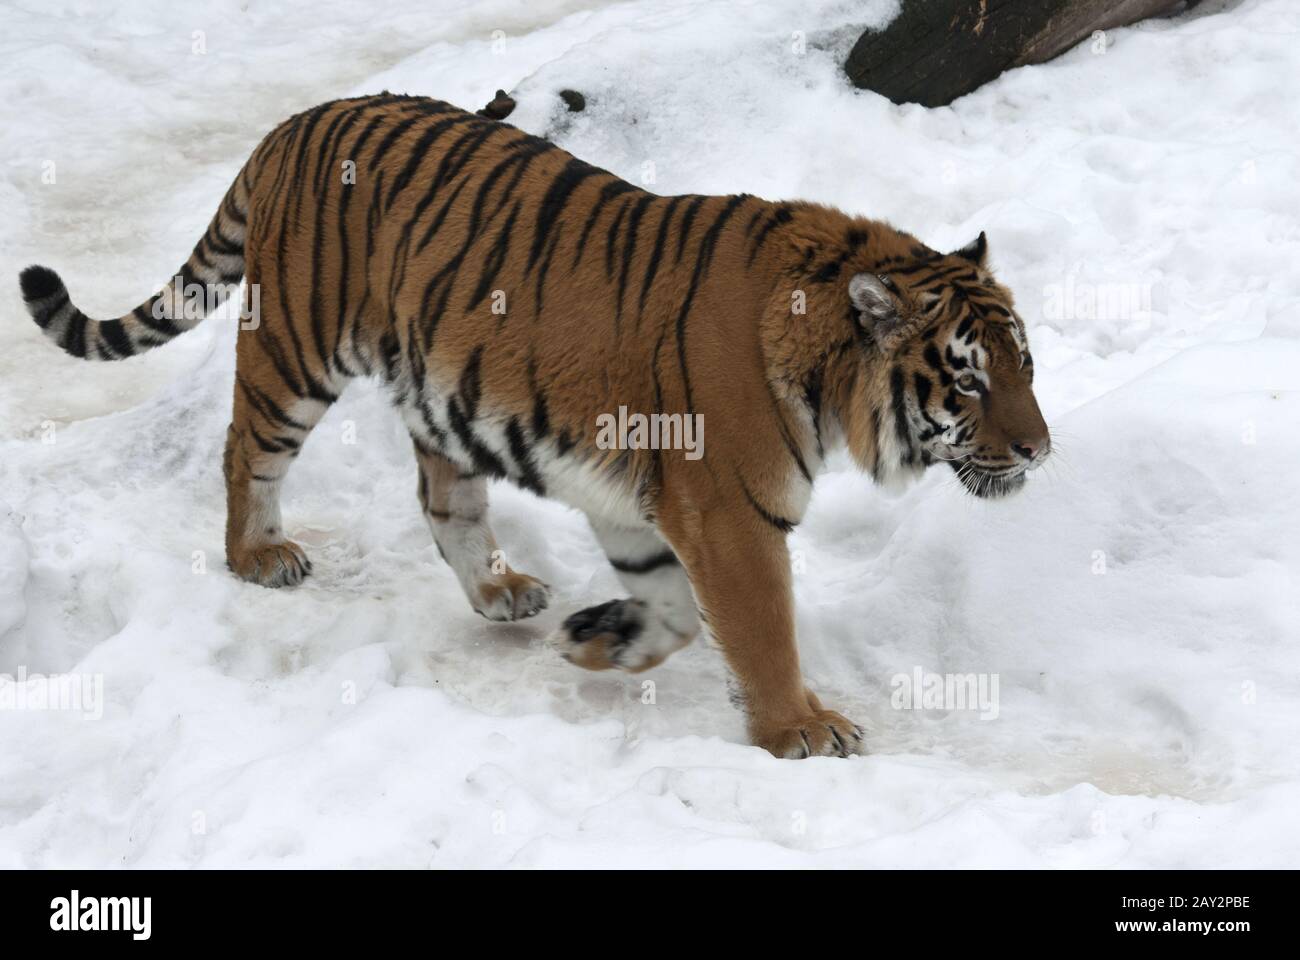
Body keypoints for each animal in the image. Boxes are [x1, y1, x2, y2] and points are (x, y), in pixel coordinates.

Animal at [18, 93, 1050, 759]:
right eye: (967, 379)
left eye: (1025, 365)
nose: (1040, 449)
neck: (826, 372)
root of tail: (293, 122)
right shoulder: (731, 515)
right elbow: (762, 630)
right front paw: (799, 728)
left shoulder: (642, 501)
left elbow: (677, 609)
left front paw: (599, 642)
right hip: (295, 353)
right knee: (245, 451)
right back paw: (256, 556)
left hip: (438, 388)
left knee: (444, 501)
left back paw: (501, 591)